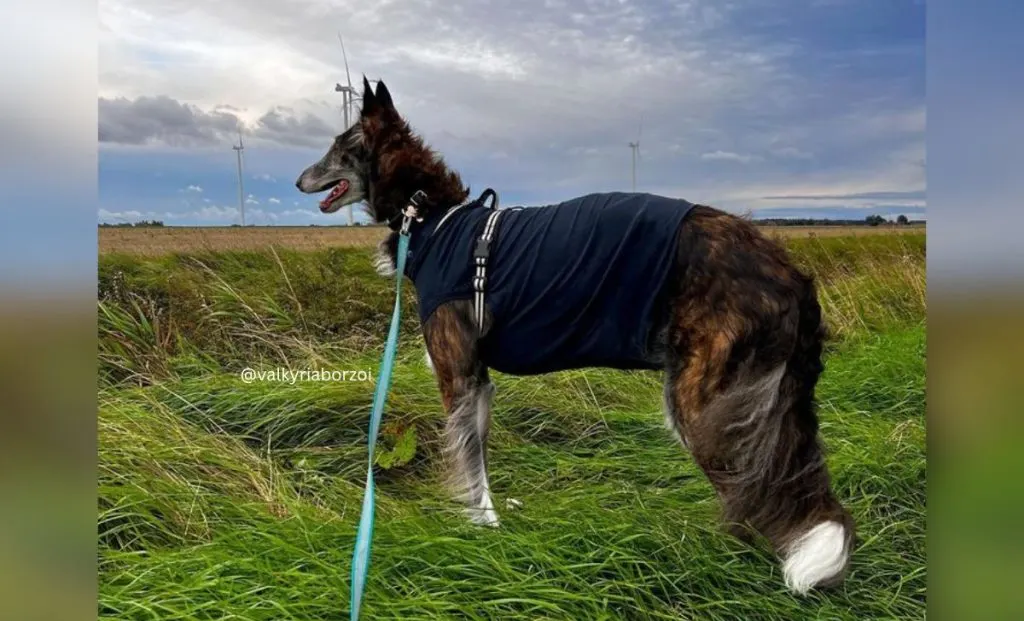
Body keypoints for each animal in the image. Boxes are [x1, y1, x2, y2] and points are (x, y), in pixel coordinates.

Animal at [296, 77, 856, 598]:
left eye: (338, 145)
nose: (299, 179)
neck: (433, 215)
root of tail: (788, 272)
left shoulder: (457, 377)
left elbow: (468, 464)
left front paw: (480, 528)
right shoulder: (478, 380)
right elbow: (480, 458)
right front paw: (494, 521)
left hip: (706, 402)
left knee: (752, 490)